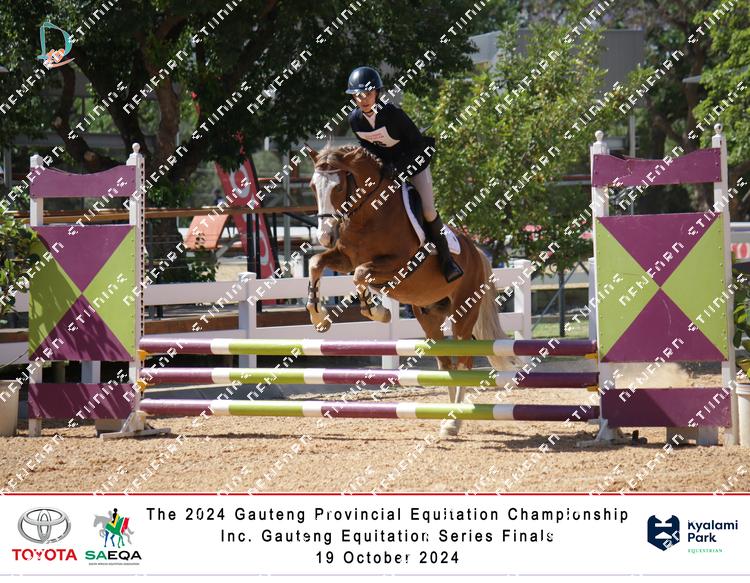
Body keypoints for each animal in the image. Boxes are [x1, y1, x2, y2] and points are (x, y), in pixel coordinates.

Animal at [305, 144, 515, 437]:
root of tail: (478, 253)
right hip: (430, 316)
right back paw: (448, 419)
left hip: (464, 313)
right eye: (313, 186)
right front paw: (318, 316)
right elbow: (317, 263)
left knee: (464, 363)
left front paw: (377, 311)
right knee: (446, 364)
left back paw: (454, 423)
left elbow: (361, 274)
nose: (324, 237)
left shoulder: (400, 266)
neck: (369, 214)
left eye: (338, 187)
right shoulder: (345, 258)